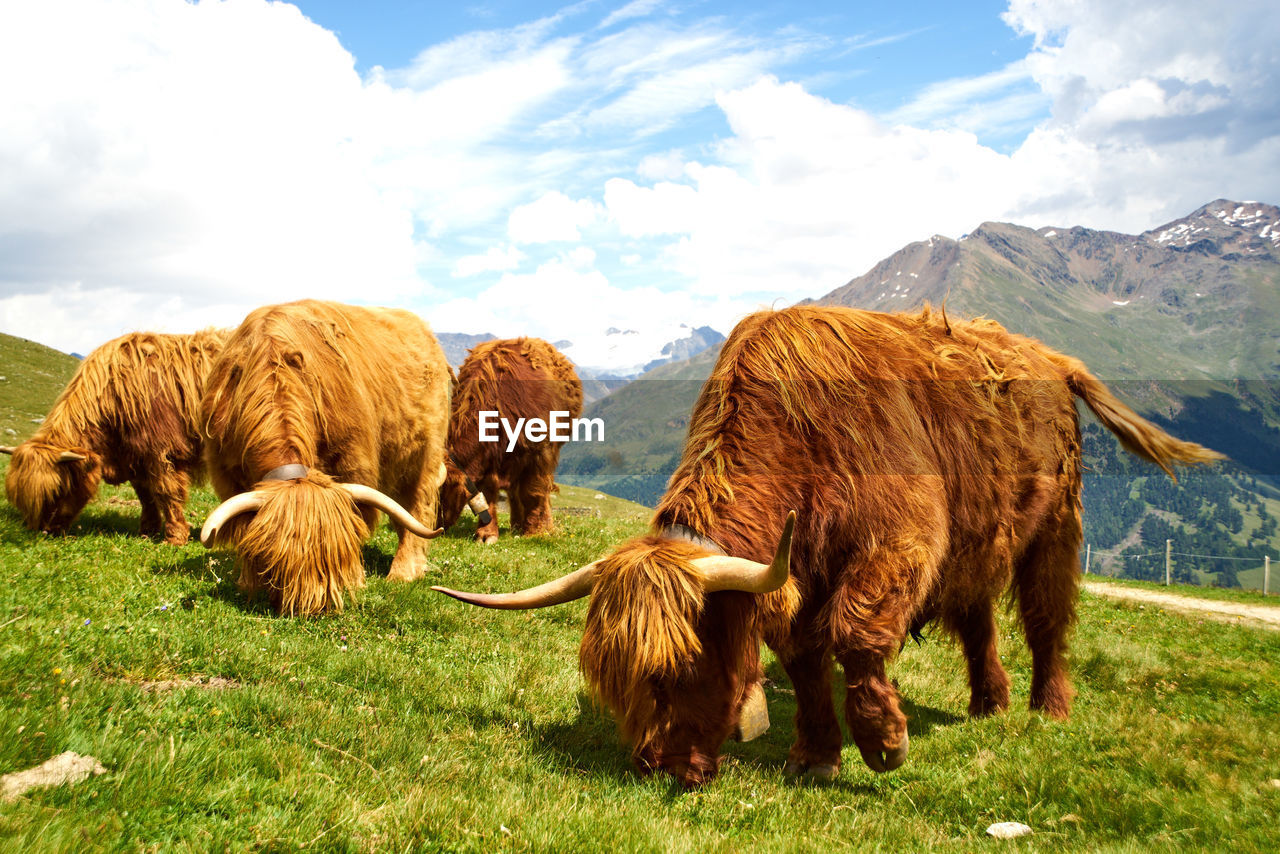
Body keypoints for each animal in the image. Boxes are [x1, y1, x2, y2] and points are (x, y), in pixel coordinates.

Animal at [1, 330, 226, 545]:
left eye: (56, 492)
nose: (43, 532)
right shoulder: (136, 458)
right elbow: (146, 496)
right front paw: (147, 531)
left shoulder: (163, 452)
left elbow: (167, 494)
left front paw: (174, 538)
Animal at [199, 300, 455, 614]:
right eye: (278, 563)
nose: (314, 606)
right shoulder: (226, 473)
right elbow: (243, 527)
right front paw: (249, 581)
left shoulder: (353, 462)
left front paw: (356, 579)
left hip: (425, 452)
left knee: (419, 506)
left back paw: (404, 572)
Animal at [437, 338, 583, 545]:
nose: (434, 527)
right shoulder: (489, 460)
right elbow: (489, 492)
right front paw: (486, 534)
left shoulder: (539, 453)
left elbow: (533, 491)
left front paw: (536, 531)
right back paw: (517, 525)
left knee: (541, 489)